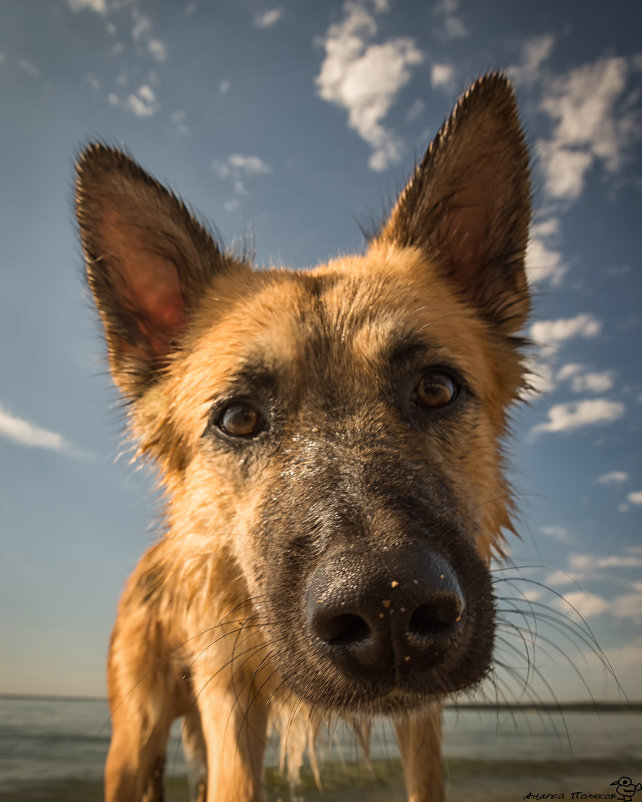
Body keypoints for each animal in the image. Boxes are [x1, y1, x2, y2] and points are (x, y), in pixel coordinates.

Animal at [76, 70, 528, 800]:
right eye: (238, 418)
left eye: (436, 388)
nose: (387, 607)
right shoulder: (229, 701)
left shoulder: (421, 721)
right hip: (134, 741)